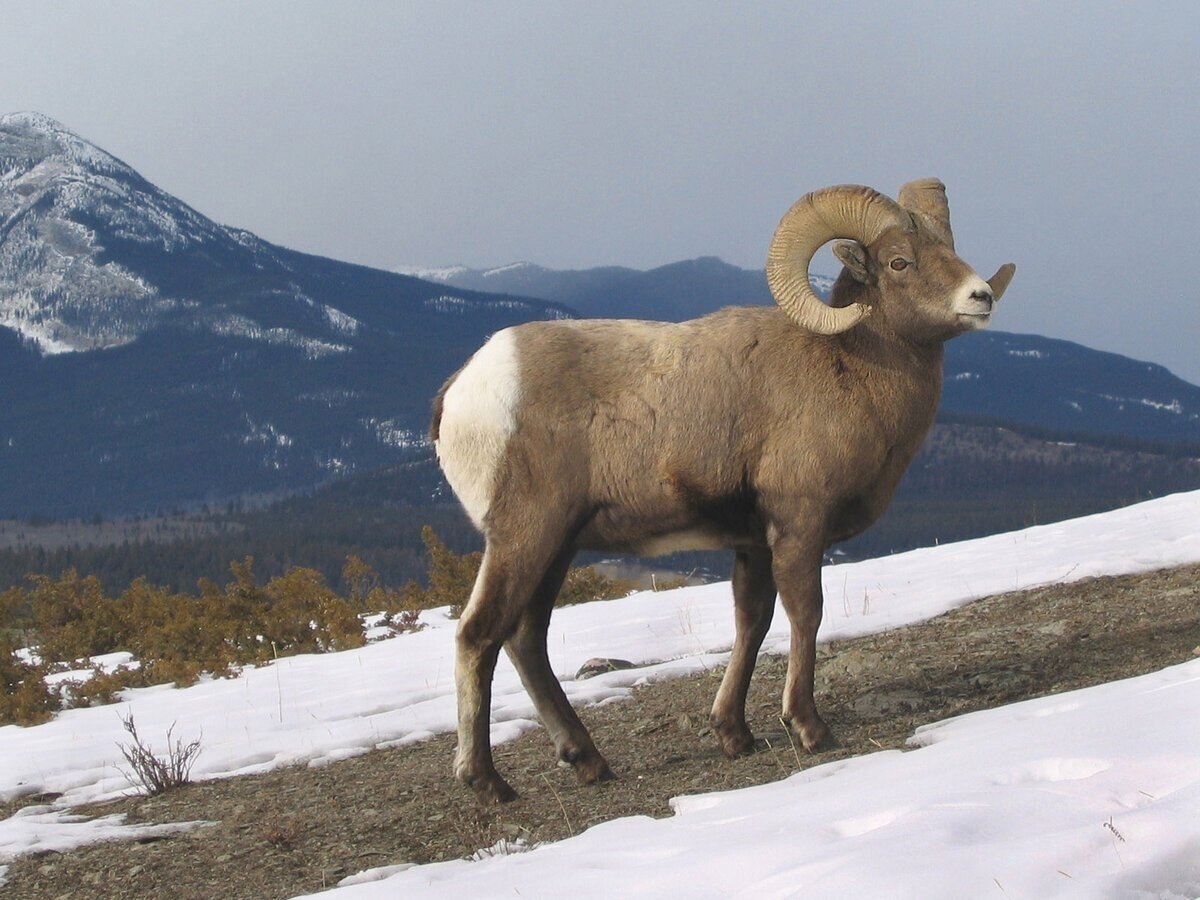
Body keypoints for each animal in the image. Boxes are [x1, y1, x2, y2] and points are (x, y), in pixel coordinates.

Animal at [432, 177, 1012, 801]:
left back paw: (589, 761)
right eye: (899, 261)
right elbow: (806, 614)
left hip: (557, 548)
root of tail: (462, 390)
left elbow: (751, 623)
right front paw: (808, 729)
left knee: (525, 640)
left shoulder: (753, 542)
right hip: (525, 537)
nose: (981, 297)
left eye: (949, 247)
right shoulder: (799, 526)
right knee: (479, 635)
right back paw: (488, 781)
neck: (849, 367)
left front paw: (734, 735)